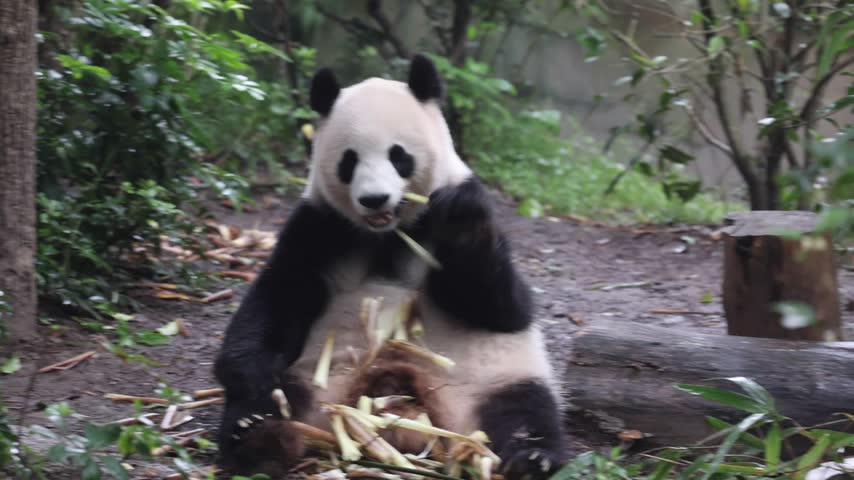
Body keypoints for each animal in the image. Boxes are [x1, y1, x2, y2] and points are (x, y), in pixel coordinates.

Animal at [213, 54, 566, 479]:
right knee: (276, 402)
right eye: (349, 160)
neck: (388, 233)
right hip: (317, 381)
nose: (374, 198)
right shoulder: (320, 227)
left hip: (489, 380)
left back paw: (531, 458)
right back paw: (260, 436)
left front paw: (461, 221)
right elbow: (279, 296)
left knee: (524, 408)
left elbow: (504, 308)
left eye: (399, 156)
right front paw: (253, 377)